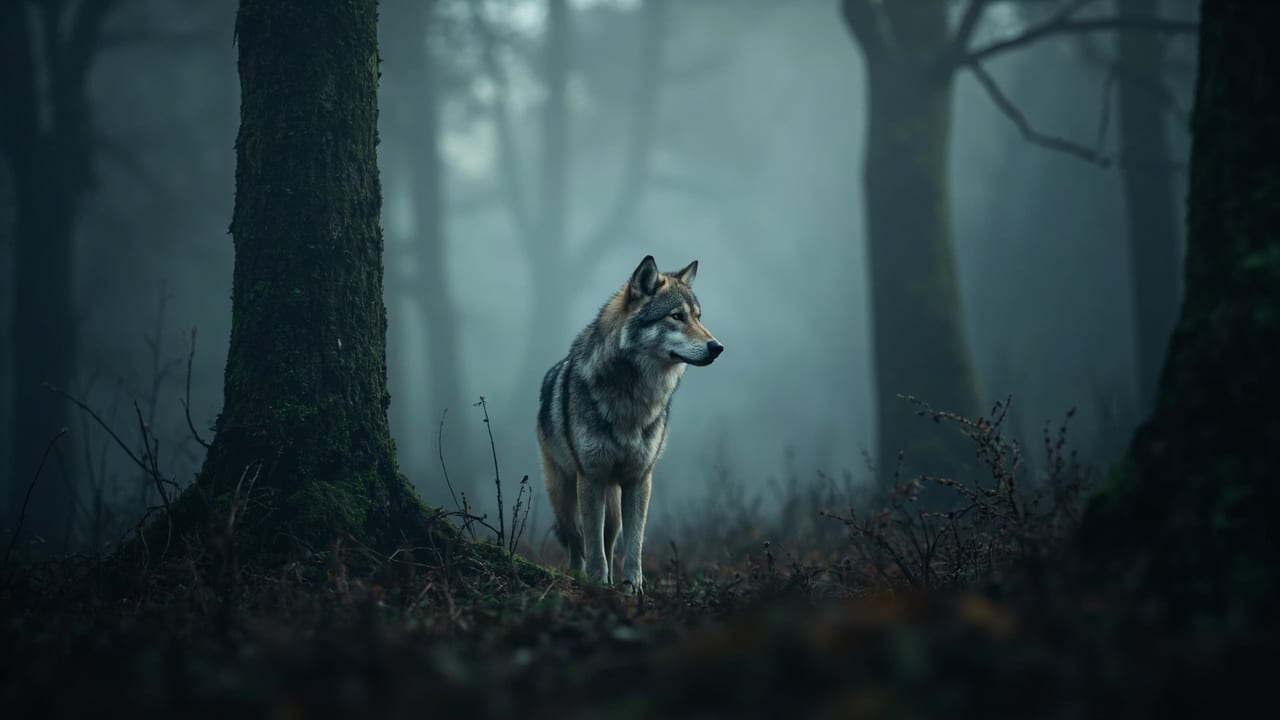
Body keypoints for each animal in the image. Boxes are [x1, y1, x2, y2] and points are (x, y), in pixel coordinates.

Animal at [537, 255, 723, 592]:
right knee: (575, 539)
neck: (633, 398)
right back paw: (577, 575)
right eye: (676, 316)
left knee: (610, 539)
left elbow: (634, 544)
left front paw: (632, 587)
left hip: (613, 503)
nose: (718, 347)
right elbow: (592, 546)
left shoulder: (639, 479)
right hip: (563, 492)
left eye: (698, 317)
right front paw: (597, 584)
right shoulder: (591, 478)